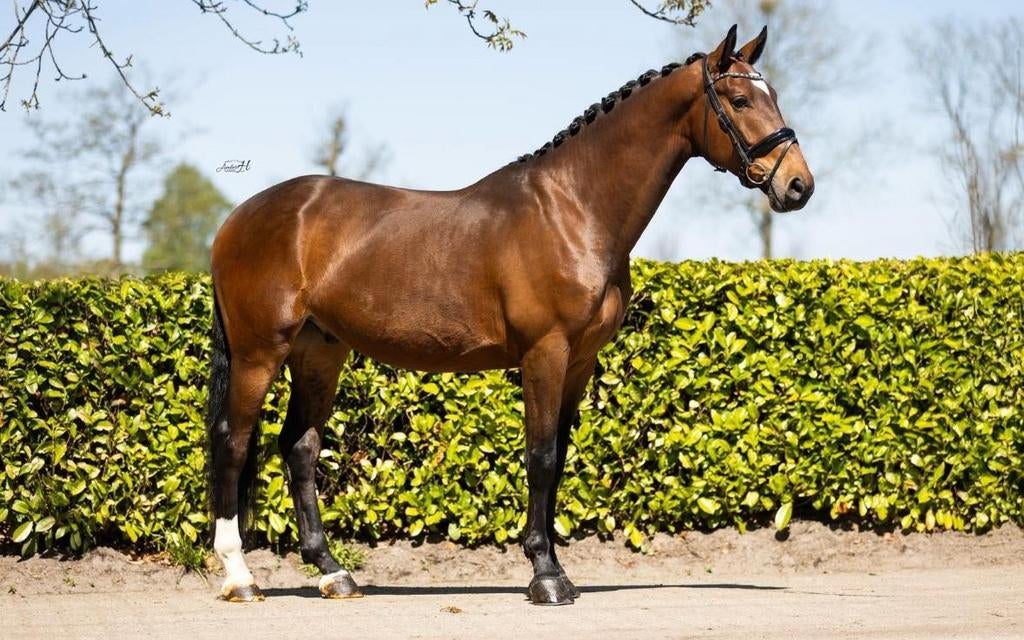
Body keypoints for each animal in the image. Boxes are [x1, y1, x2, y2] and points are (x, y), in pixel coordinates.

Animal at [206, 24, 814, 606]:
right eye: (740, 99)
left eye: (775, 96)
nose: (798, 185)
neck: (573, 209)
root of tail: (239, 218)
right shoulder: (545, 352)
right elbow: (540, 456)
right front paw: (546, 576)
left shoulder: (579, 362)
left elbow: (560, 458)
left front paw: (557, 568)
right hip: (260, 353)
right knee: (233, 442)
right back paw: (241, 578)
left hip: (318, 353)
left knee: (299, 447)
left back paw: (334, 573)